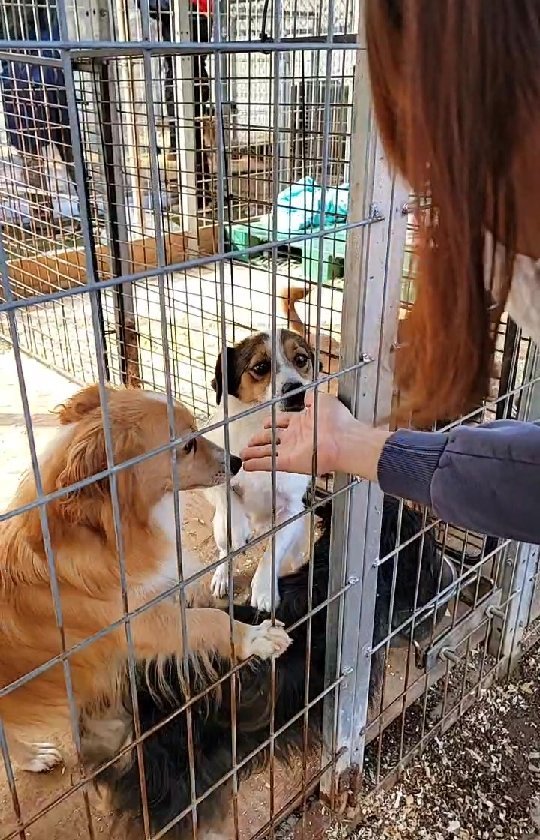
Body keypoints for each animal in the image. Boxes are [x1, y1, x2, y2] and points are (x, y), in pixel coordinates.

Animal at [201, 328, 316, 612]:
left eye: (301, 359)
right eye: (261, 367)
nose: (296, 392)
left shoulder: (292, 510)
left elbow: (273, 552)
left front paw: (264, 589)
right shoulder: (213, 475)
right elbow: (228, 497)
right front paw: (239, 527)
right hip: (219, 529)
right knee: (225, 549)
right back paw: (223, 574)